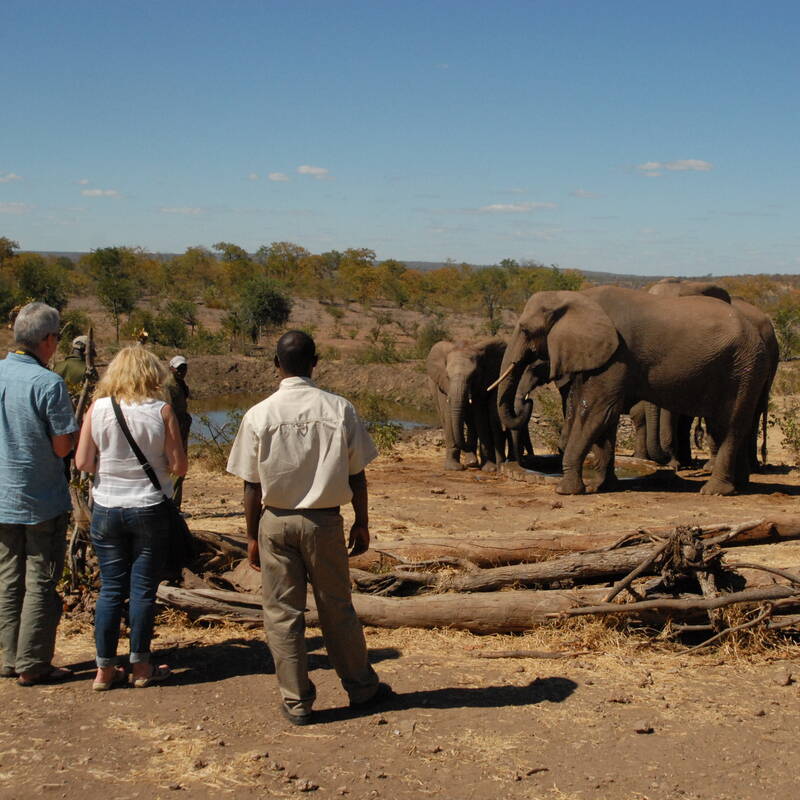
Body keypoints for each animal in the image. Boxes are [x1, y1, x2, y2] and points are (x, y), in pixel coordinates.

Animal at [424, 336, 506, 468]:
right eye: (447, 376)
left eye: (473, 376)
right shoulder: (443, 385)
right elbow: (448, 413)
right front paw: (453, 468)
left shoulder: (483, 382)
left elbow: (481, 415)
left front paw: (489, 468)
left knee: (473, 422)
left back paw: (472, 462)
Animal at [494, 288, 768, 496]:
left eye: (525, 330)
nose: (527, 402)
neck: (576, 298)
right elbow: (604, 417)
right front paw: (602, 486)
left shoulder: (617, 355)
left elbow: (597, 411)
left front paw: (566, 490)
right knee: (724, 426)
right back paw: (739, 485)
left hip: (742, 367)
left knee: (730, 424)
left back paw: (715, 491)